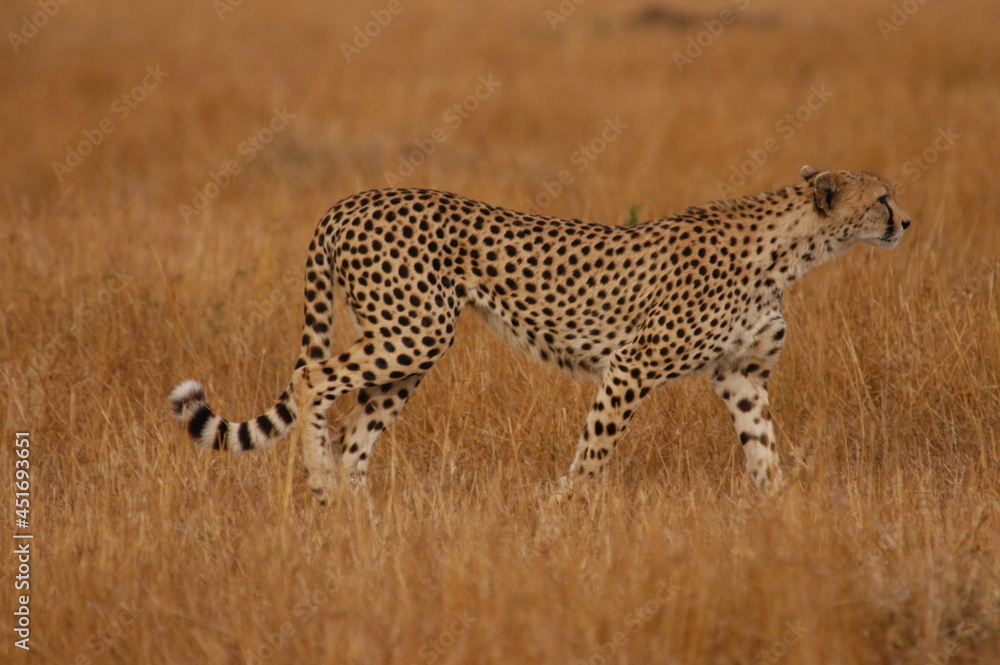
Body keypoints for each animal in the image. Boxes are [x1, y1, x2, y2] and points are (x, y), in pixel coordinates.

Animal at [170, 165, 910, 503]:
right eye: (881, 197)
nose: (906, 222)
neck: (792, 250)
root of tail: (350, 200)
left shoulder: (742, 376)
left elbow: (764, 453)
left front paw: (782, 517)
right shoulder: (633, 363)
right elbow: (596, 448)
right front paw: (564, 508)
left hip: (410, 348)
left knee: (356, 423)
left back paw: (357, 511)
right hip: (413, 329)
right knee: (311, 377)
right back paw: (323, 487)